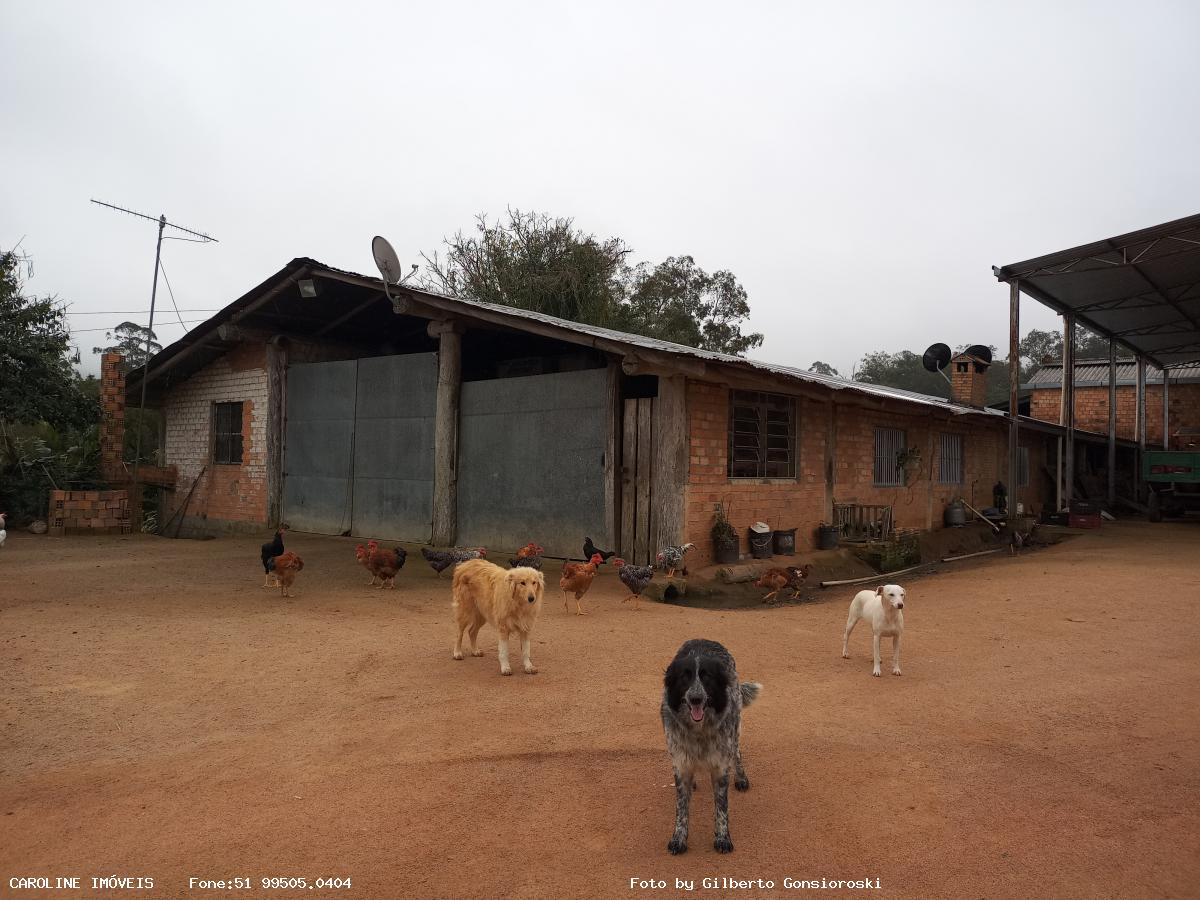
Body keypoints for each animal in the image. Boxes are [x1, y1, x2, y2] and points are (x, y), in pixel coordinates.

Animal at [662, 638, 763, 854]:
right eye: (684, 677)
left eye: (707, 677)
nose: (696, 698)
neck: (698, 730)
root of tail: (704, 639)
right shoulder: (681, 765)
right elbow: (681, 808)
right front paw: (679, 838)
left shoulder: (720, 767)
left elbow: (722, 808)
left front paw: (723, 838)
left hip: (735, 726)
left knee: (737, 752)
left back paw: (741, 778)